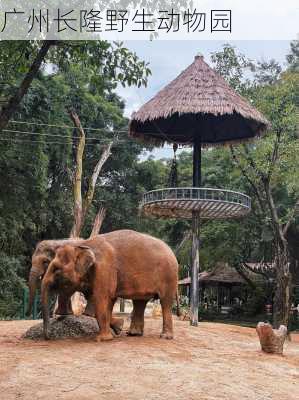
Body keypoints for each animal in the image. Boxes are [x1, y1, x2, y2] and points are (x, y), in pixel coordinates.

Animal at [41, 231, 179, 340]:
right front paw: (117, 329)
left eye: (56, 269)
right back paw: (133, 334)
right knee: (140, 302)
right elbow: (105, 299)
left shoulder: (104, 269)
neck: (84, 245)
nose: (49, 337)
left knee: (165, 302)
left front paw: (102, 339)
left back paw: (165, 337)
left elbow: (102, 298)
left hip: (169, 276)